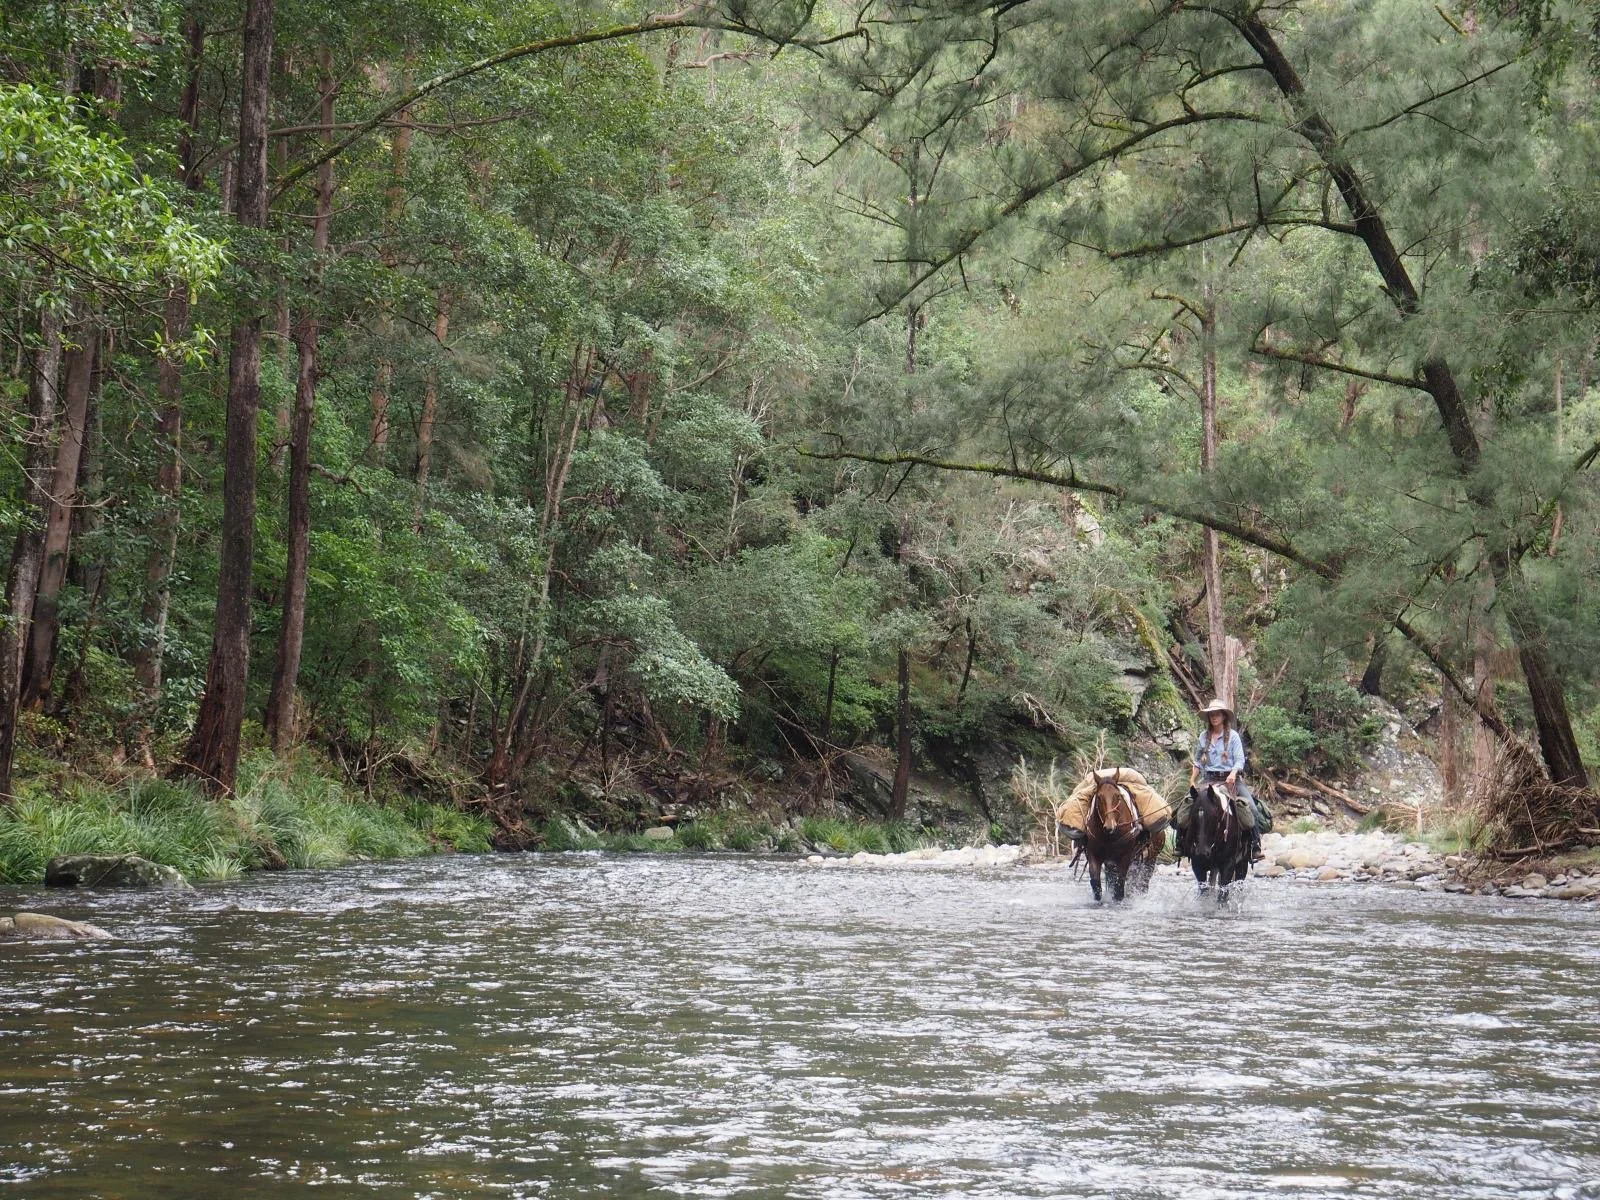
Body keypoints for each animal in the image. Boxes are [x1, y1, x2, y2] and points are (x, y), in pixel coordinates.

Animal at [1076, 772, 1165, 903]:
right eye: (1099, 797)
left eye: (1117, 796)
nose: (1110, 826)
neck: (1109, 837)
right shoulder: (1094, 856)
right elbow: (1097, 885)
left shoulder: (1125, 857)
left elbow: (1120, 887)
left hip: (1150, 858)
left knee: (1142, 882)